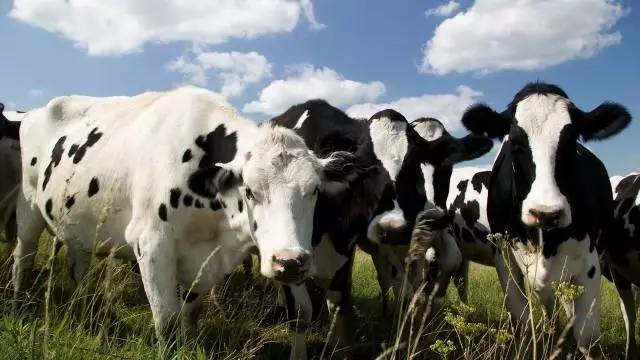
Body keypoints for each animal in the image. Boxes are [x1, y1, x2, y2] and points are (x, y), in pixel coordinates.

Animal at [11, 86, 360, 358]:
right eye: (249, 190)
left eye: (314, 190)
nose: (290, 263)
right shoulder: (151, 244)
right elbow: (167, 320)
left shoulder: (205, 260)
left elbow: (190, 312)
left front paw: (189, 344)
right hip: (27, 208)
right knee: (22, 256)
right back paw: (17, 304)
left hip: (77, 229)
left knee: (78, 269)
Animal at [460, 83, 632, 358]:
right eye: (515, 141)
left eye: (571, 140)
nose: (546, 213)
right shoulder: (504, 258)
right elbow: (522, 320)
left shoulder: (589, 262)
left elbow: (587, 336)